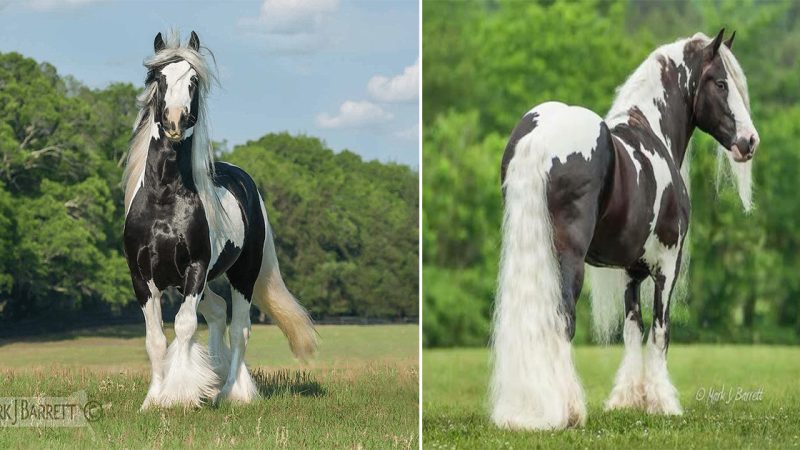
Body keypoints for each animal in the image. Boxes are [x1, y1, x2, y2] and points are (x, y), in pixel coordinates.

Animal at [122, 29, 316, 408]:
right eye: (159, 78)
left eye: (193, 80)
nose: (175, 120)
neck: (164, 198)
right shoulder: (142, 277)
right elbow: (155, 339)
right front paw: (153, 399)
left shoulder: (195, 269)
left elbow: (183, 326)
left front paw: (179, 395)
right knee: (216, 312)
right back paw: (215, 381)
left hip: (243, 273)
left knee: (239, 327)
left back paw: (230, 392)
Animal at [490, 29, 760, 430]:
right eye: (722, 82)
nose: (749, 142)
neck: (653, 132)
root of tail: (542, 136)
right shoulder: (667, 265)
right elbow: (660, 330)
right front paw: (663, 402)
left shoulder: (630, 272)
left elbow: (633, 329)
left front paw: (627, 400)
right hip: (568, 258)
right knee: (563, 318)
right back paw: (569, 410)